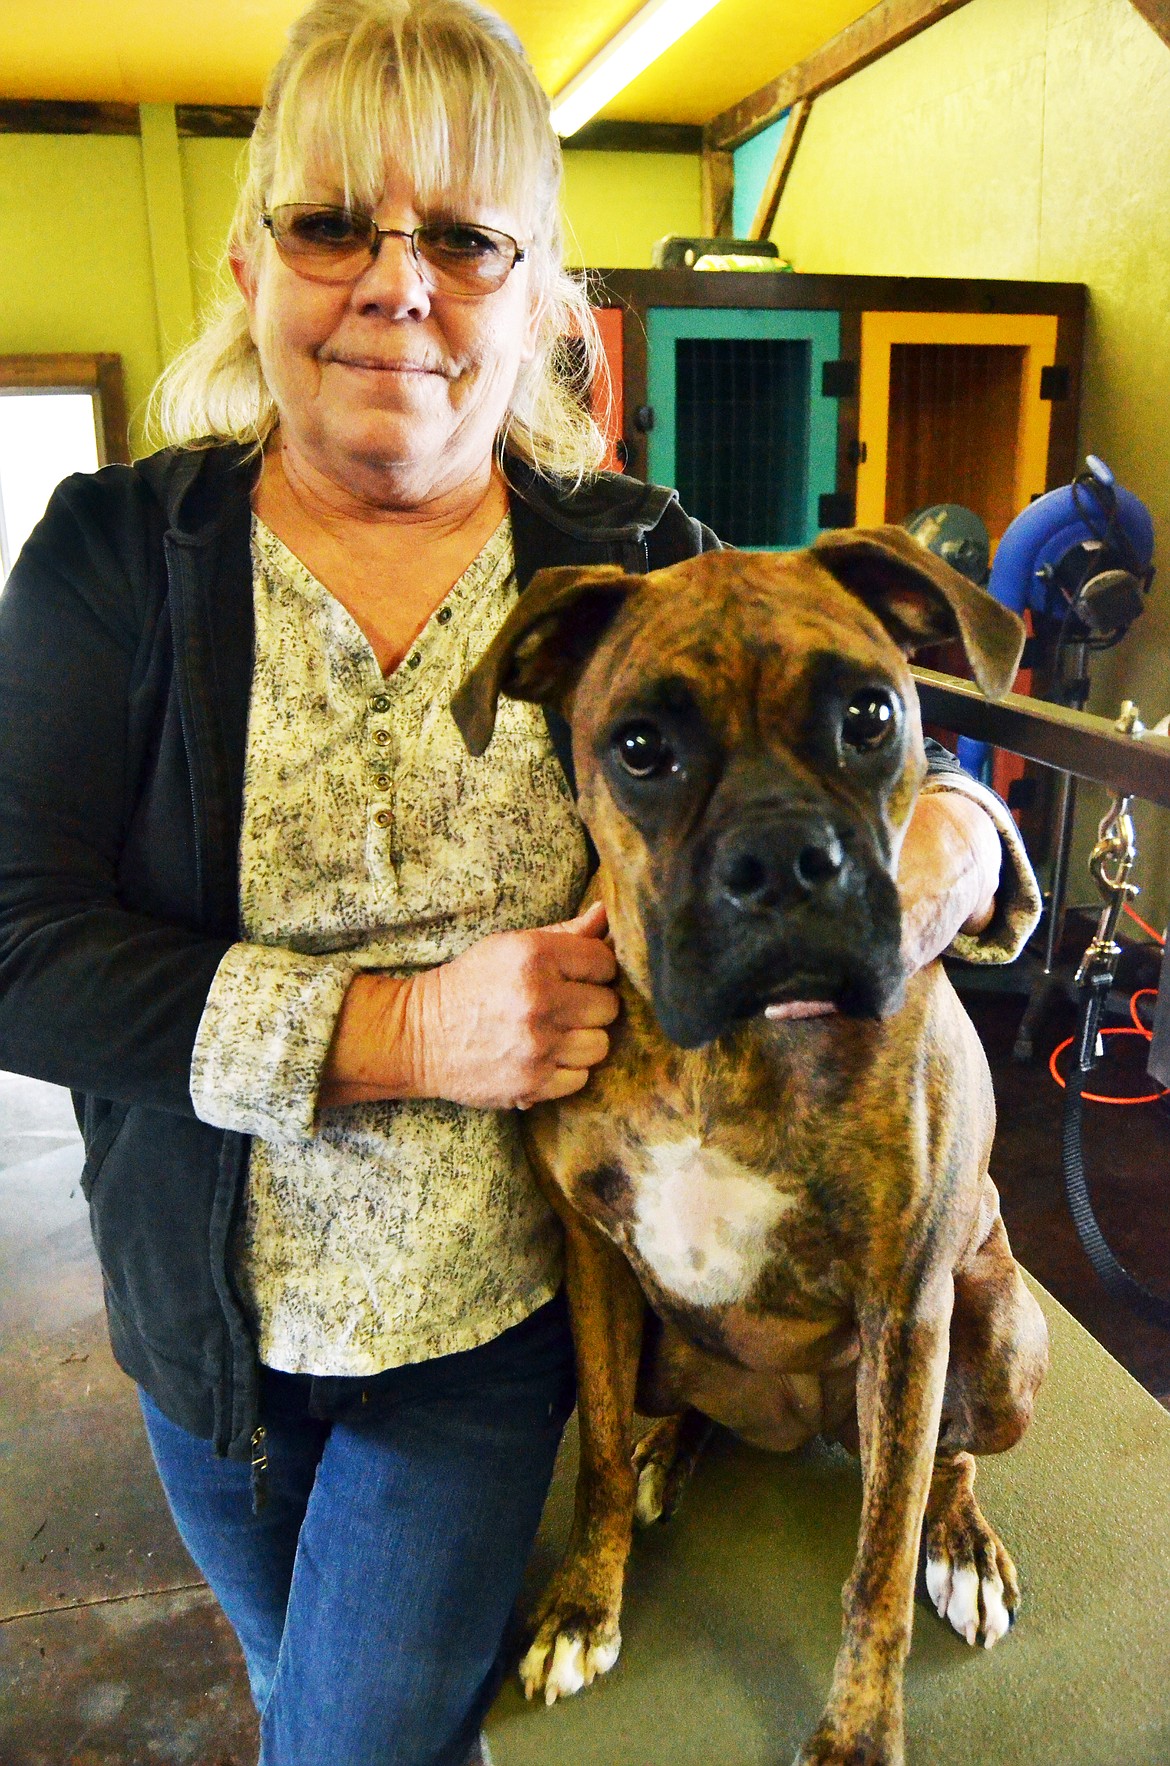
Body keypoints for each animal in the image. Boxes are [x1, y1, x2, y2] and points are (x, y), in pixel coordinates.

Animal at [450, 526, 1051, 1766]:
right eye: (640, 747)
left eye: (871, 715)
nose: (782, 858)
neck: (731, 1049)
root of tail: (801, 1421)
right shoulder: (593, 1260)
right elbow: (592, 1453)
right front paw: (583, 1602)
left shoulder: (906, 1311)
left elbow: (877, 1566)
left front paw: (858, 1732)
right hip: (667, 1340)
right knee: (680, 1410)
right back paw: (669, 1452)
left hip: (999, 1335)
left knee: (944, 1457)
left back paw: (960, 1539)